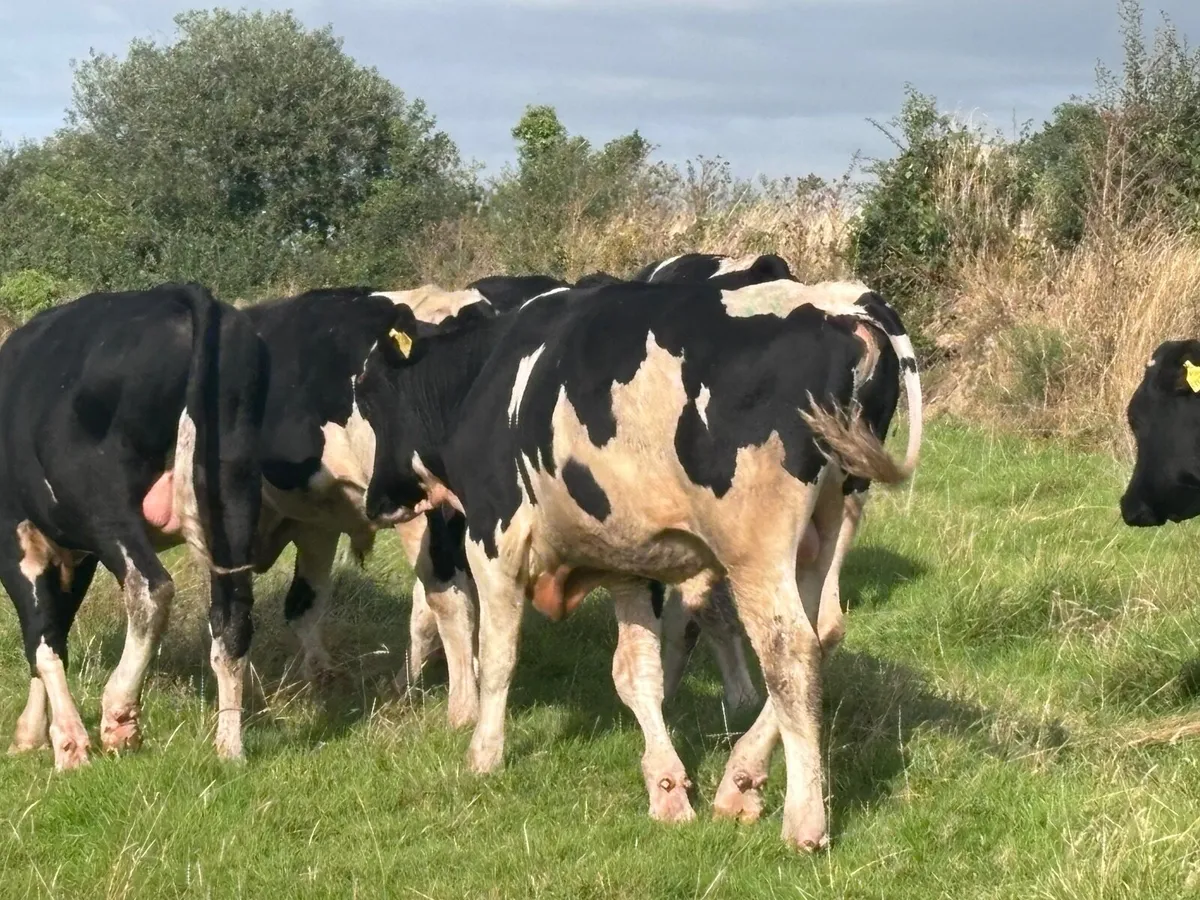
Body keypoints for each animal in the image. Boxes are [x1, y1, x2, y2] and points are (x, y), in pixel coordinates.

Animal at [0, 284, 268, 770]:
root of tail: (178, 294)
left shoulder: (14, 538)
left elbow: (39, 636)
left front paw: (66, 743)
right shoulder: (76, 555)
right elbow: (54, 631)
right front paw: (31, 733)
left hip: (103, 501)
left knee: (150, 587)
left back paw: (118, 713)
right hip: (234, 493)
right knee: (233, 616)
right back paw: (229, 747)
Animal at [355, 277, 922, 851]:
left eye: (372, 396)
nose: (376, 503)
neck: (484, 379)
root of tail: (839, 304)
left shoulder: (494, 537)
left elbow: (496, 655)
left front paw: (483, 753)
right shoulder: (632, 562)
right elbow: (635, 673)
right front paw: (666, 785)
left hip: (755, 549)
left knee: (790, 652)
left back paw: (803, 821)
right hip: (832, 524)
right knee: (824, 629)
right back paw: (740, 778)